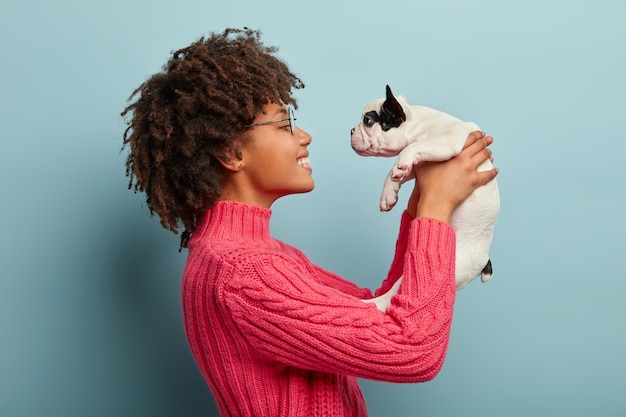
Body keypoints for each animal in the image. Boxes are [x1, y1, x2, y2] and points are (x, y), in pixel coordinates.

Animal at [352, 84, 498, 308]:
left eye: (367, 120)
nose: (351, 130)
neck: (418, 123)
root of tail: (485, 261)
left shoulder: (445, 142)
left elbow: (412, 149)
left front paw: (399, 166)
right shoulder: (418, 164)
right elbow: (393, 174)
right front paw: (389, 194)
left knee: (390, 297)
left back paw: (371, 304)